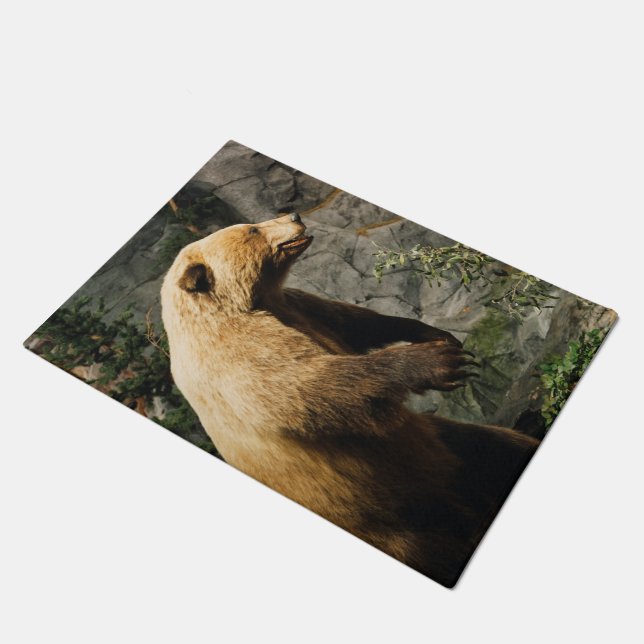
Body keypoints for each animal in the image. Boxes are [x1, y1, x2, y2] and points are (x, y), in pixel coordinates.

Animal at [160, 212, 538, 587]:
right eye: (253, 229)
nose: (295, 214)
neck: (248, 303)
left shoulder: (297, 307)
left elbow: (354, 321)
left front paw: (436, 336)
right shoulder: (237, 359)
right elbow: (313, 386)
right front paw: (437, 362)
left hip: (437, 450)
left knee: (493, 448)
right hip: (390, 513)